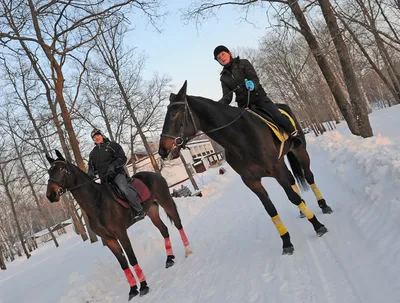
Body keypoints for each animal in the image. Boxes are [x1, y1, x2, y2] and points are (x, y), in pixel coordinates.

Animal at [45, 151, 192, 302]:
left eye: (62, 169)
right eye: (50, 171)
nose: (51, 194)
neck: (97, 202)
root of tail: (155, 174)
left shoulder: (121, 233)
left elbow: (132, 259)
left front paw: (143, 287)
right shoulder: (109, 239)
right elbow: (123, 264)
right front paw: (132, 290)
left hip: (165, 201)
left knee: (178, 223)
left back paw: (187, 251)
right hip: (152, 211)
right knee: (164, 230)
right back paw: (169, 259)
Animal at [158, 81, 332, 256]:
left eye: (175, 113)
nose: (162, 150)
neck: (240, 137)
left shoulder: (276, 170)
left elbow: (293, 197)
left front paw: (317, 225)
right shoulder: (251, 181)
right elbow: (270, 209)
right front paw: (286, 241)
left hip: (300, 151)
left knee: (309, 176)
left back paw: (323, 205)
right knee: (291, 179)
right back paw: (303, 210)